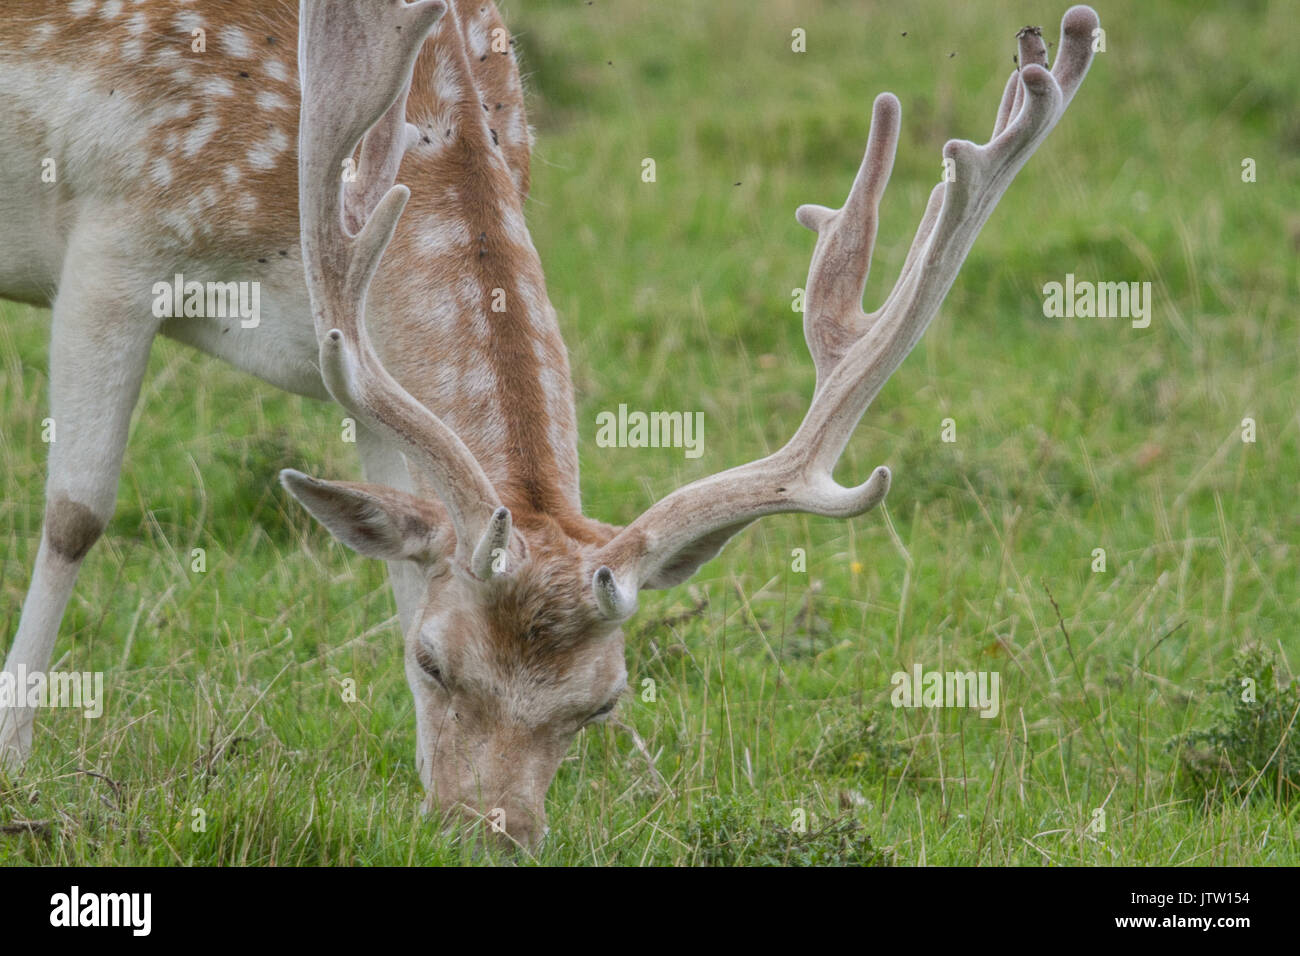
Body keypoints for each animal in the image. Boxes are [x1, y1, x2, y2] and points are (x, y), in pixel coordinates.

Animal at [0, 1, 1097, 853]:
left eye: (603, 700)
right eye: (435, 664)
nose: (494, 836)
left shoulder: (345, 362)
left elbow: (399, 561)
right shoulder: (119, 246)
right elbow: (76, 514)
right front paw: (15, 761)